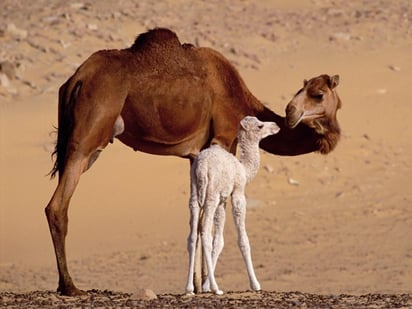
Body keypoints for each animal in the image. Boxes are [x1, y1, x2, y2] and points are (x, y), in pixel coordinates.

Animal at [186, 115, 280, 294]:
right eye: (260, 125)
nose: (276, 126)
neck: (243, 168)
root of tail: (202, 166)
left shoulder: (222, 200)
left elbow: (219, 241)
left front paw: (205, 286)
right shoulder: (237, 193)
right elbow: (243, 240)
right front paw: (255, 284)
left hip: (194, 193)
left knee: (193, 235)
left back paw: (188, 288)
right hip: (211, 195)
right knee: (205, 233)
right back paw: (217, 289)